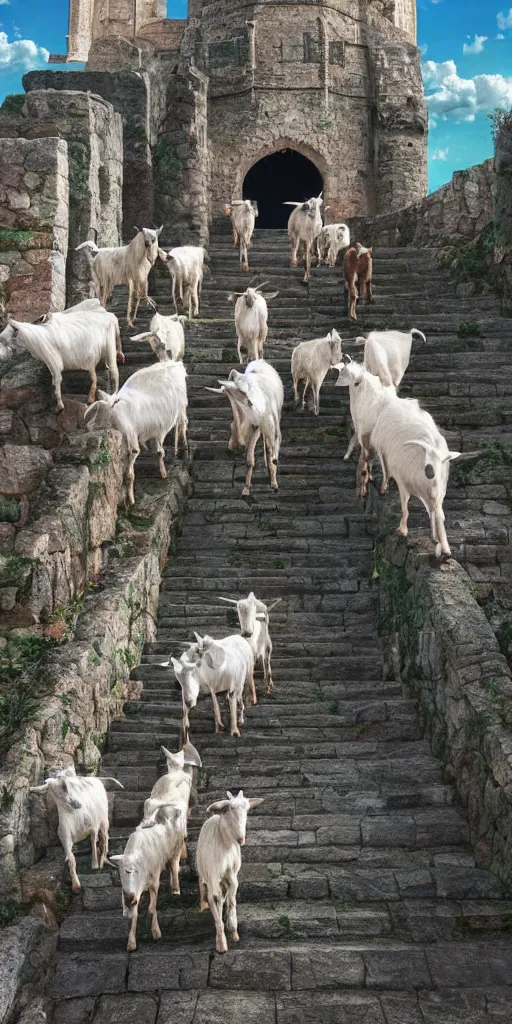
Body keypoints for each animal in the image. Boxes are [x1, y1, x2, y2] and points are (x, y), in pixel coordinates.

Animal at [83, 360, 188, 507]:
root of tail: (174, 363)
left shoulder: (132, 447)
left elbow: (129, 475)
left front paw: (130, 501)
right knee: (162, 447)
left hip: (181, 409)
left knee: (182, 428)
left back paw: (182, 452)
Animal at [193, 790, 262, 950]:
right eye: (230, 808)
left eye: (247, 810)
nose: (241, 839)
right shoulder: (212, 876)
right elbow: (215, 898)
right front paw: (221, 942)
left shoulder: (232, 874)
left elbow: (231, 899)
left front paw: (233, 929)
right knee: (209, 892)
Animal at [206, 360, 284, 495]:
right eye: (228, 394)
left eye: (245, 398)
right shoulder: (252, 426)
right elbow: (249, 460)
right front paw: (246, 489)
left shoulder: (266, 427)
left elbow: (272, 450)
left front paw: (274, 483)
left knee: (269, 447)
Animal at [368, 397, 460, 561]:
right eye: (426, 456)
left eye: (441, 462)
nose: (430, 473)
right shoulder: (408, 482)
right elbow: (416, 509)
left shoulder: (432, 490)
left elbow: (432, 512)